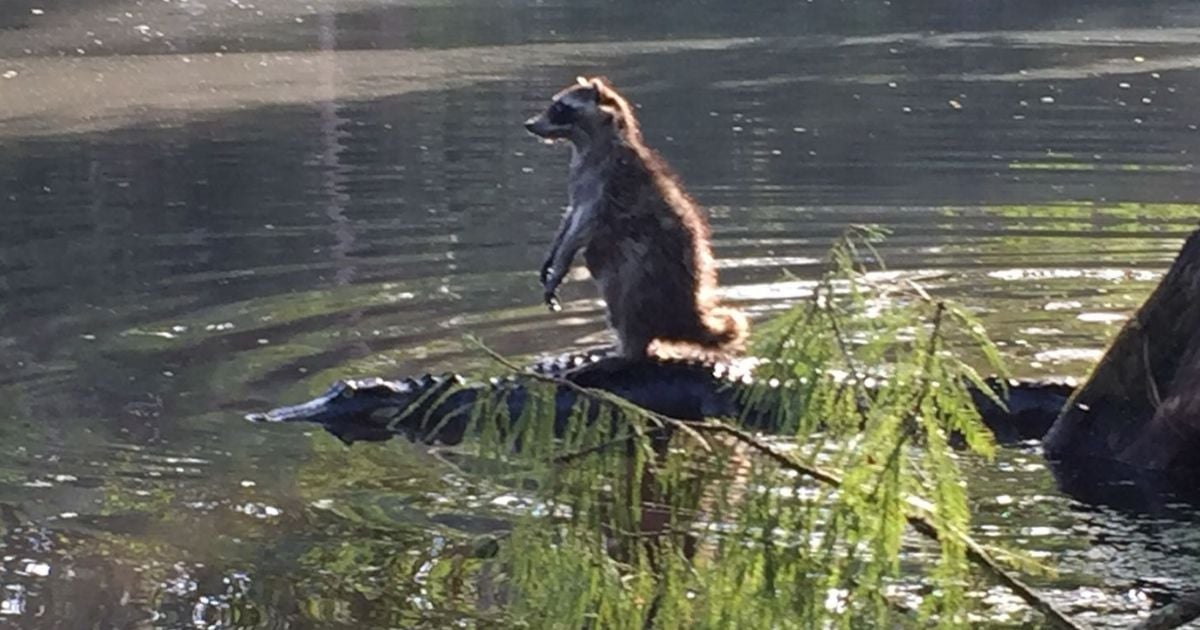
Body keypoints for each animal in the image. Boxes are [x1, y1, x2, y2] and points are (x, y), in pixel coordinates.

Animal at [525, 75, 748, 357]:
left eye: (559, 108)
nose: (529, 124)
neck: (587, 144)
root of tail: (686, 315)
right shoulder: (580, 182)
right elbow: (570, 216)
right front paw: (551, 255)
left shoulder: (606, 184)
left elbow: (582, 227)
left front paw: (560, 266)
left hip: (648, 274)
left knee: (627, 290)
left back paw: (627, 347)